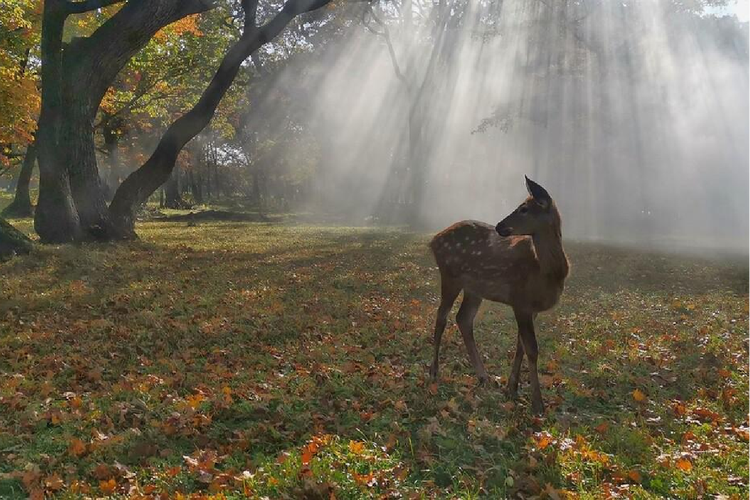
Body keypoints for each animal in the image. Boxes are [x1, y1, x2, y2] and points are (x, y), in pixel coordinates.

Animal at [428, 176, 568, 414]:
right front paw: (537, 404)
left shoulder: (531, 307)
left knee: (463, 318)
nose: (499, 226)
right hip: (450, 276)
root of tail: (433, 240)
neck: (546, 271)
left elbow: (521, 345)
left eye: (523, 209)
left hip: (474, 289)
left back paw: (484, 376)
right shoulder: (520, 300)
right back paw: (434, 371)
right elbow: (532, 348)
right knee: (441, 316)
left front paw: (512, 387)